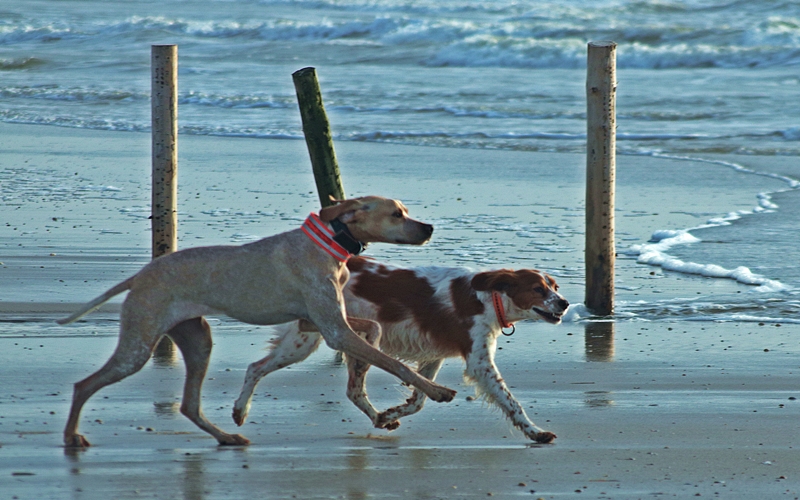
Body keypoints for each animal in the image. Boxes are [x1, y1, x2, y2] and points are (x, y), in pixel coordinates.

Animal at [57, 196, 456, 450]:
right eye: (397, 214)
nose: (429, 228)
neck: (328, 243)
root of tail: (140, 276)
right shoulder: (334, 330)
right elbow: (394, 364)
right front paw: (435, 390)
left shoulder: (317, 323)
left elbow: (373, 333)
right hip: (138, 346)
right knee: (83, 385)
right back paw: (72, 436)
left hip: (198, 339)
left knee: (189, 405)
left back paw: (227, 435)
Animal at [233, 258, 568, 442]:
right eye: (538, 289)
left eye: (555, 287)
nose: (565, 303)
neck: (489, 296)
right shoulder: (479, 362)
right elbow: (511, 402)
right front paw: (535, 432)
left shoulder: (434, 355)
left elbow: (419, 398)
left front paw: (392, 413)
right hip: (325, 338)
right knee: (261, 369)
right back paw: (240, 410)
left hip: (324, 341)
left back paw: (240, 410)